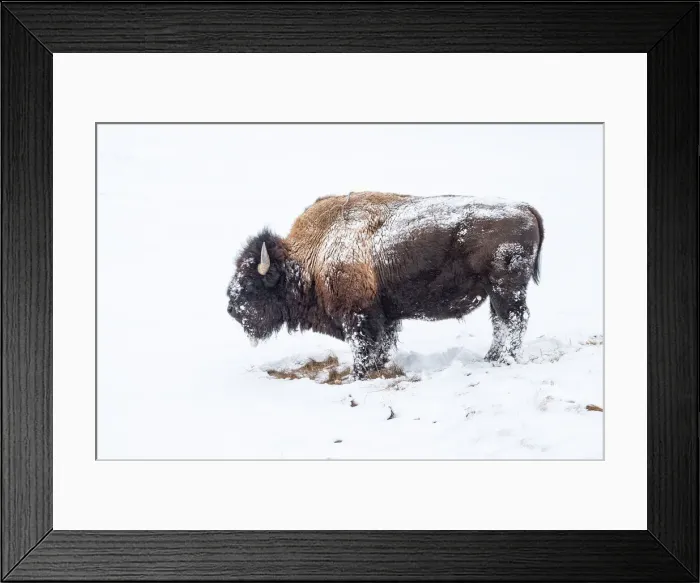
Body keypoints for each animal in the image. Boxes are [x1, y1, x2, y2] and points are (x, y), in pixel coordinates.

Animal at [227, 192, 544, 379]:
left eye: (251, 284)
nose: (231, 307)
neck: (315, 252)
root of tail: (524, 208)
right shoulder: (383, 317)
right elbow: (382, 345)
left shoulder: (358, 317)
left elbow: (364, 348)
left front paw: (358, 375)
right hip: (496, 292)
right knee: (501, 322)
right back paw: (491, 357)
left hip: (505, 289)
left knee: (513, 320)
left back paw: (505, 360)